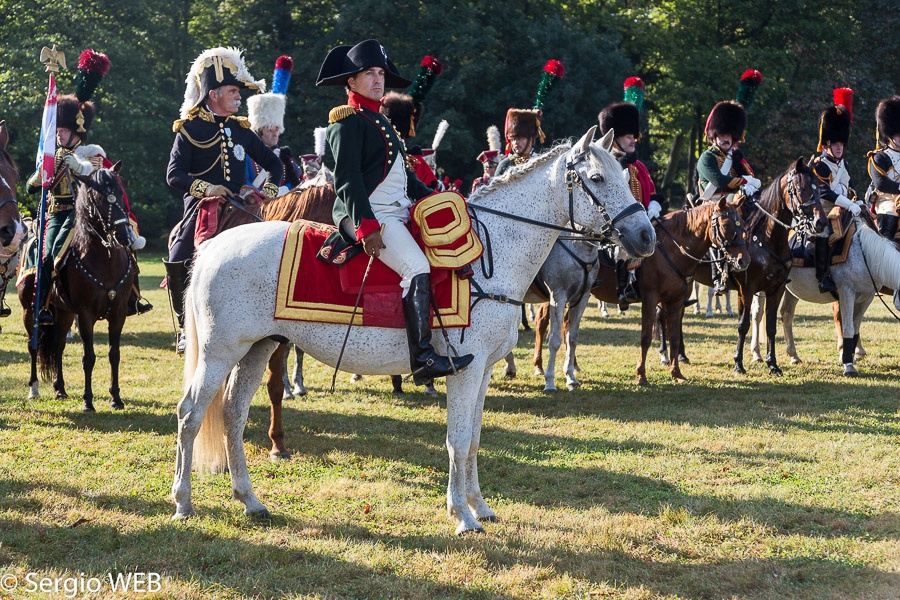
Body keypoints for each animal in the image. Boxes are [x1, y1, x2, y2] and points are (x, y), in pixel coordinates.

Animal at [18, 162, 135, 410]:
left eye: (120, 193)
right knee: (33, 345)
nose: (124, 236)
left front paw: (116, 398)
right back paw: (34, 388)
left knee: (58, 345)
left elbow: (114, 354)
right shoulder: (85, 314)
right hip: (29, 311)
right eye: (98, 198)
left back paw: (60, 388)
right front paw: (88, 401)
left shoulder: (118, 312)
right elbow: (88, 357)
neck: (105, 257)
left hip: (63, 312)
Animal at [172, 126, 656, 536]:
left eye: (624, 176)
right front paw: (462, 516)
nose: (646, 237)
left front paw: (480, 506)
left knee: (233, 415)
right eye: (597, 177)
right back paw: (183, 502)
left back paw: (250, 500)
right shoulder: (465, 370)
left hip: (257, 348)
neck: (493, 251)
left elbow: (473, 439)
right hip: (219, 353)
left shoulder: (482, 372)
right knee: (191, 414)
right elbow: (457, 441)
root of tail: (215, 245)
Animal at [592, 197, 752, 384]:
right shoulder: (650, 298)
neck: (673, 250)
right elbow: (646, 337)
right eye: (726, 225)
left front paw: (676, 372)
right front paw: (641, 374)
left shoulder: (676, 301)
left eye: (742, 224)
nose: (744, 260)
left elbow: (674, 337)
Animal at [748, 220, 900, 376]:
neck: (865, 256)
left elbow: (855, 328)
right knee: (757, 314)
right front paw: (848, 365)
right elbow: (847, 328)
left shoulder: (866, 297)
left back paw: (793, 355)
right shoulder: (846, 293)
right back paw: (756, 354)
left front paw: (851, 357)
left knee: (787, 313)